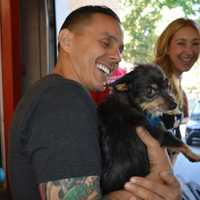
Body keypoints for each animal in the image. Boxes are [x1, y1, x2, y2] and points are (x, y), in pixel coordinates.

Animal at [98, 63, 200, 194]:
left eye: (167, 86)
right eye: (150, 91)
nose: (174, 105)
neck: (130, 102)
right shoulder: (158, 133)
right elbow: (180, 142)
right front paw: (196, 156)